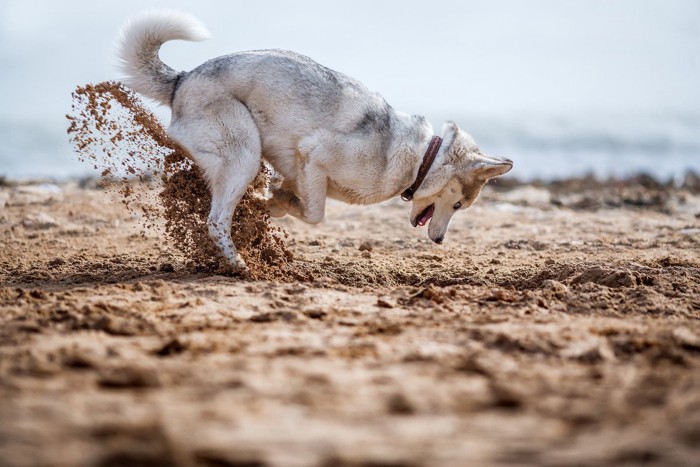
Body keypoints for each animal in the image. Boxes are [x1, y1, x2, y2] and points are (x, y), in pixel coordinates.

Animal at [116, 10, 516, 274]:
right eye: (459, 204)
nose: (440, 242)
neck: (421, 159)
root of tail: (182, 80)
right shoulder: (314, 155)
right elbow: (314, 214)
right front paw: (271, 204)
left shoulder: (302, 171)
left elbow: (297, 203)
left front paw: (273, 202)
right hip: (245, 154)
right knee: (215, 221)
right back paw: (240, 263)